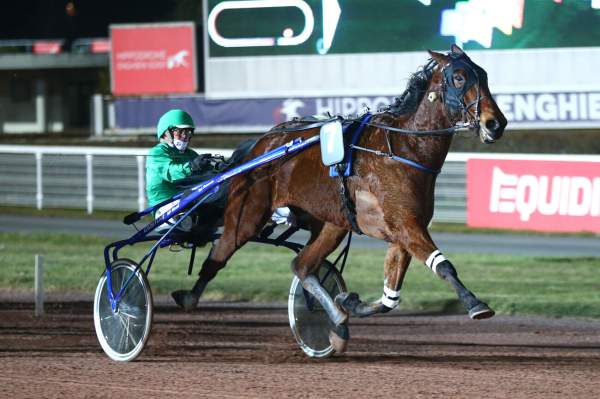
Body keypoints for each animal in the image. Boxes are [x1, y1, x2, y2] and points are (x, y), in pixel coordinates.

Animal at [172, 44, 506, 354]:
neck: (403, 149)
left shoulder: (403, 232)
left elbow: (390, 298)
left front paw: (350, 301)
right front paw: (475, 303)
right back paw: (187, 297)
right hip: (248, 215)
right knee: (220, 253)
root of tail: (259, 144)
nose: (496, 123)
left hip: (332, 224)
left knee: (302, 266)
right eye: (459, 77)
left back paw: (338, 322)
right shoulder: (406, 226)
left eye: (485, 76)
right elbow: (444, 266)